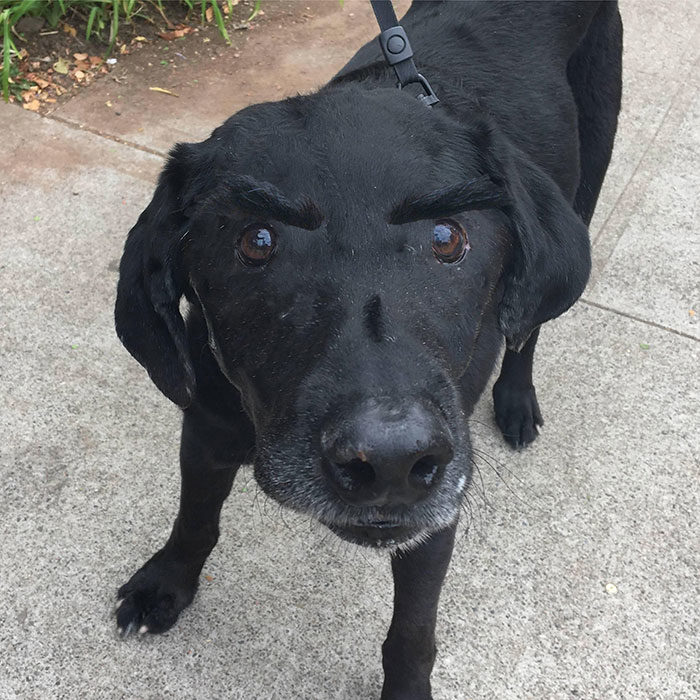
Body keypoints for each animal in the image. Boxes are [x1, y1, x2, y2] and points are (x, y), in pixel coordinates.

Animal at [115, 4, 624, 696]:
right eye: (256, 240)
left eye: (446, 236)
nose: (390, 460)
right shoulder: (206, 427)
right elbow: (195, 517)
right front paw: (166, 583)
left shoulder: (434, 518)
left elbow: (412, 631)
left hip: (590, 169)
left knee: (529, 326)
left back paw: (517, 398)